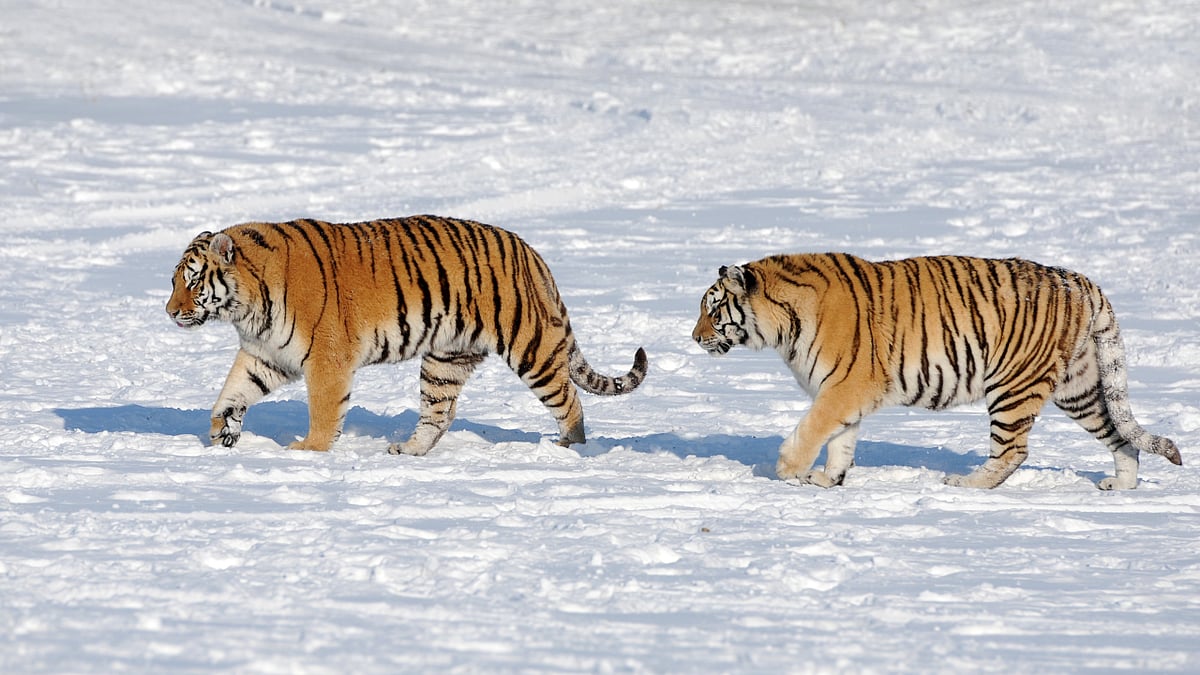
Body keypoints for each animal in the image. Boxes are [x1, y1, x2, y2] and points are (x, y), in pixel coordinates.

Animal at [166, 215, 648, 456]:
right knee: (439, 413)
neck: (247, 307)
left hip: (531, 347)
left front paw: (307, 451)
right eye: (174, 282)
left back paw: (570, 451)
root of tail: (532, 254)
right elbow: (231, 392)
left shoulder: (326, 359)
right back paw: (408, 451)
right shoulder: (265, 354)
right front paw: (221, 431)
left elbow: (324, 411)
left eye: (192, 281)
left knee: (570, 400)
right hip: (445, 360)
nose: (169, 312)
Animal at [692, 253, 1181, 490]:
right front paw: (829, 479)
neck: (784, 322)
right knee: (1120, 435)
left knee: (1013, 450)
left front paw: (787, 469)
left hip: (1013, 384)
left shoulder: (845, 385)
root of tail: (1081, 281)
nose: (694, 337)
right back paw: (1122, 487)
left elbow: (813, 429)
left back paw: (964, 484)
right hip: (1078, 387)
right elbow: (841, 441)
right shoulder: (845, 391)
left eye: (713, 310)